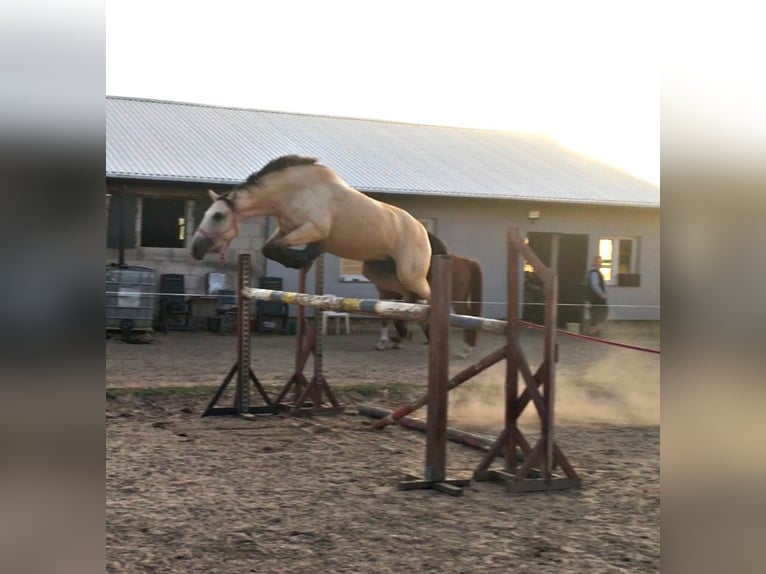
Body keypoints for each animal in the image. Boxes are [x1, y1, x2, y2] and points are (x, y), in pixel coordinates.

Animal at [190, 155, 447, 303]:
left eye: (218, 216)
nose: (195, 249)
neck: (293, 191)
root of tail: (422, 231)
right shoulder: (286, 228)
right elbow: (269, 248)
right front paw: (300, 259)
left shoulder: (314, 229)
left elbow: (280, 246)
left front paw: (305, 257)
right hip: (382, 273)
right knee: (408, 299)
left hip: (411, 275)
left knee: (429, 299)